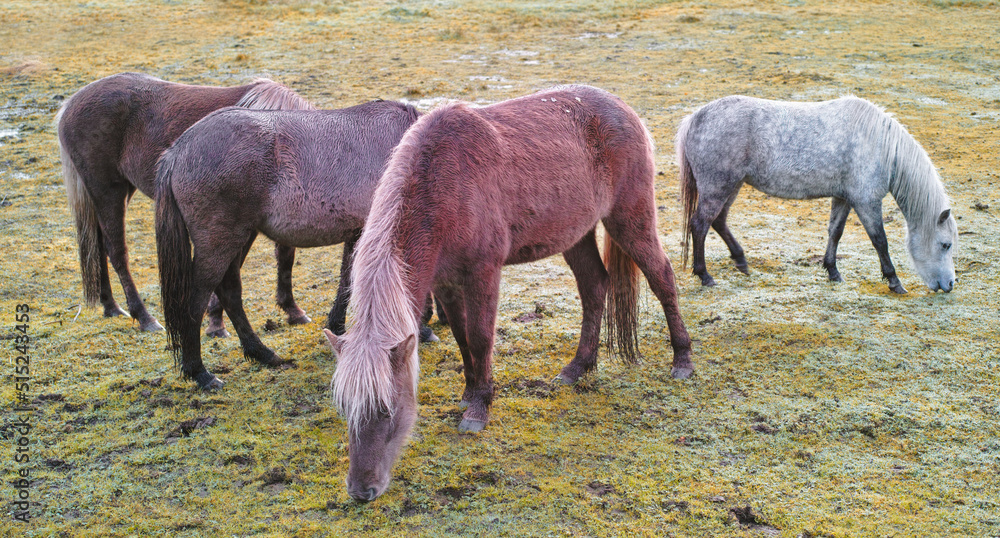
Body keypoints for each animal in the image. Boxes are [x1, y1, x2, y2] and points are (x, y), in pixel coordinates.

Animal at [56, 71, 312, 330]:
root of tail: (70, 105)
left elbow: (285, 255)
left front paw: (292, 309)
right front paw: (215, 320)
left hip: (118, 190)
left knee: (98, 243)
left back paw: (110, 306)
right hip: (107, 190)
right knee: (115, 250)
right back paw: (145, 318)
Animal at [155, 100, 418, 388]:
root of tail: (178, 150)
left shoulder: (358, 234)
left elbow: (347, 283)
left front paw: (337, 328)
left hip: (238, 239)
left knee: (229, 293)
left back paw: (261, 353)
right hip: (219, 243)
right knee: (197, 299)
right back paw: (200, 372)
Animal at [324, 82, 692, 498]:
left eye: (386, 409)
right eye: (344, 408)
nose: (361, 491)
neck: (442, 181)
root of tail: (623, 108)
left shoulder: (483, 272)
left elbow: (481, 337)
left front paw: (479, 409)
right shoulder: (445, 281)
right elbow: (463, 338)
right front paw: (469, 394)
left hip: (629, 218)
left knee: (662, 277)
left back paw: (682, 359)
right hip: (576, 233)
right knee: (594, 288)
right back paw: (578, 367)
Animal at [676, 94, 956, 292]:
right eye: (946, 244)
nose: (950, 285)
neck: (880, 146)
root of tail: (695, 118)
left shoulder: (844, 198)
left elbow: (835, 232)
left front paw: (832, 271)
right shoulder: (866, 201)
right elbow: (880, 241)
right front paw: (894, 281)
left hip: (731, 186)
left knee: (718, 221)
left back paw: (741, 262)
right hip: (718, 187)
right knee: (700, 225)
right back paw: (705, 276)